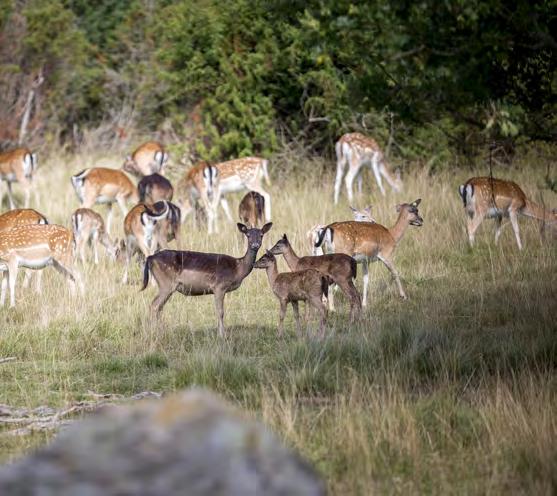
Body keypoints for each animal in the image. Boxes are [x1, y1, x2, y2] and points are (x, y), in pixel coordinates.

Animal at [141, 222, 272, 336]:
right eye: (248, 235)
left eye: (261, 235)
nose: (255, 245)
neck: (237, 269)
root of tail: (150, 258)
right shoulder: (219, 286)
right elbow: (220, 312)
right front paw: (222, 335)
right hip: (166, 284)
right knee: (154, 305)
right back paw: (153, 332)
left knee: (159, 307)